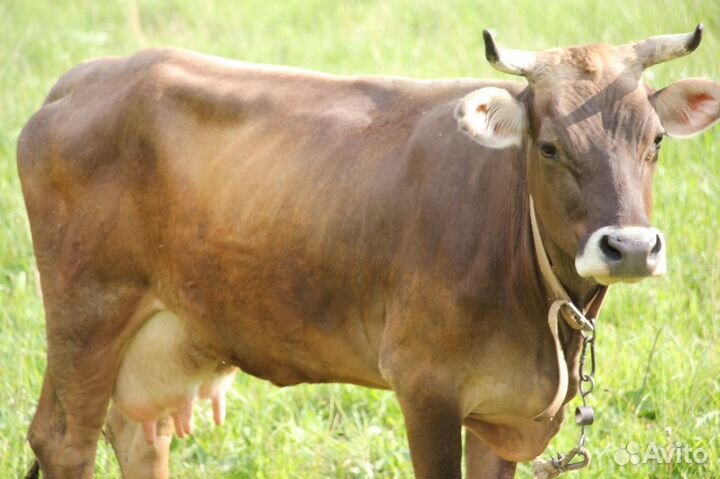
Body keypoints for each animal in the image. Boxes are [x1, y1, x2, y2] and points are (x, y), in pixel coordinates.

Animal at [17, 25, 720, 479]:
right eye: (549, 147)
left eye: (656, 140)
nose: (631, 247)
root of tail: (83, 78)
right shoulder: (426, 387)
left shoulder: (503, 408)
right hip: (87, 311)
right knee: (63, 442)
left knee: (139, 438)